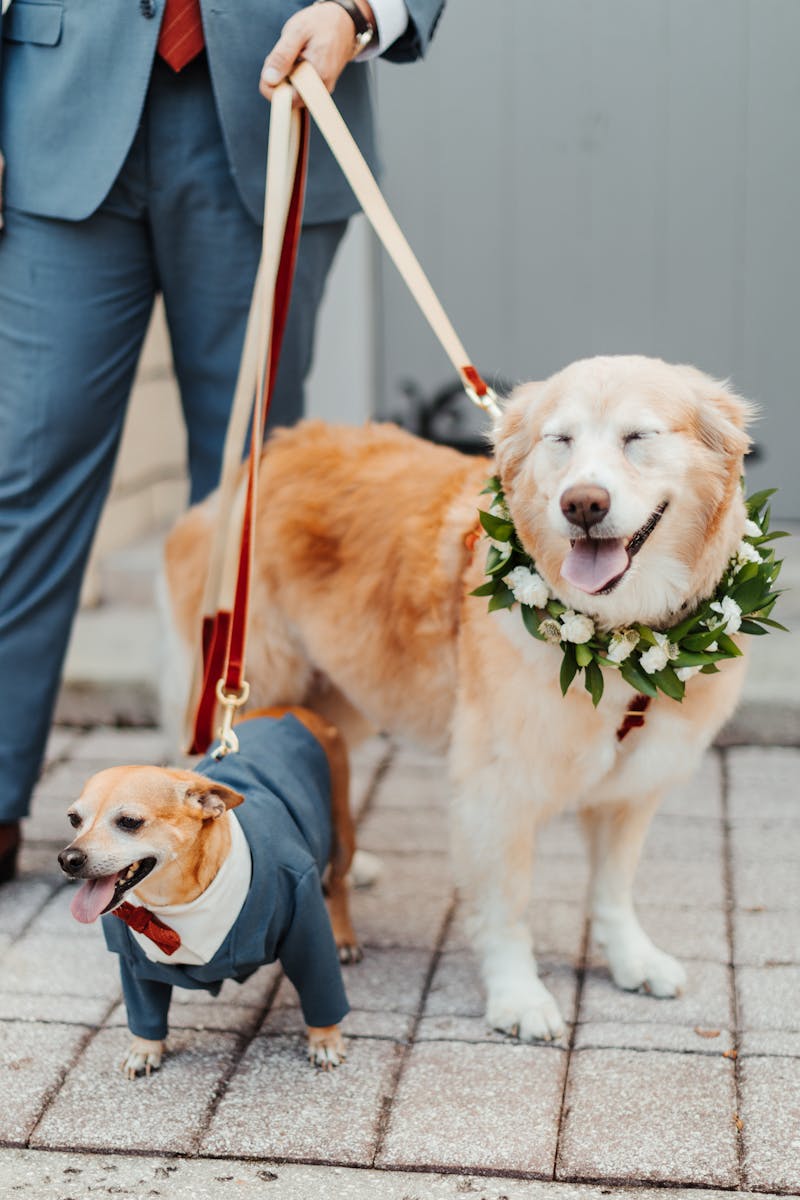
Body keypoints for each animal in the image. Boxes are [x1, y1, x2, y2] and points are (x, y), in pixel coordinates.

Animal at [61, 705, 362, 1075]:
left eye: (129, 822)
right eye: (74, 819)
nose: (68, 859)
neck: (178, 901)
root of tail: (291, 710)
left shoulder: (306, 926)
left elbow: (320, 988)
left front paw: (325, 1040)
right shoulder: (134, 961)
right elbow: (145, 1007)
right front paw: (145, 1048)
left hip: (342, 835)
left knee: (339, 883)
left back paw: (344, 937)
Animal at [164, 352, 758, 1041]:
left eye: (638, 437)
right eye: (561, 440)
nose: (582, 504)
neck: (621, 642)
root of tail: (258, 461)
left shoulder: (632, 787)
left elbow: (612, 889)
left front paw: (632, 959)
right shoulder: (496, 790)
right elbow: (506, 908)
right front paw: (518, 996)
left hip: (345, 690)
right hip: (253, 684)